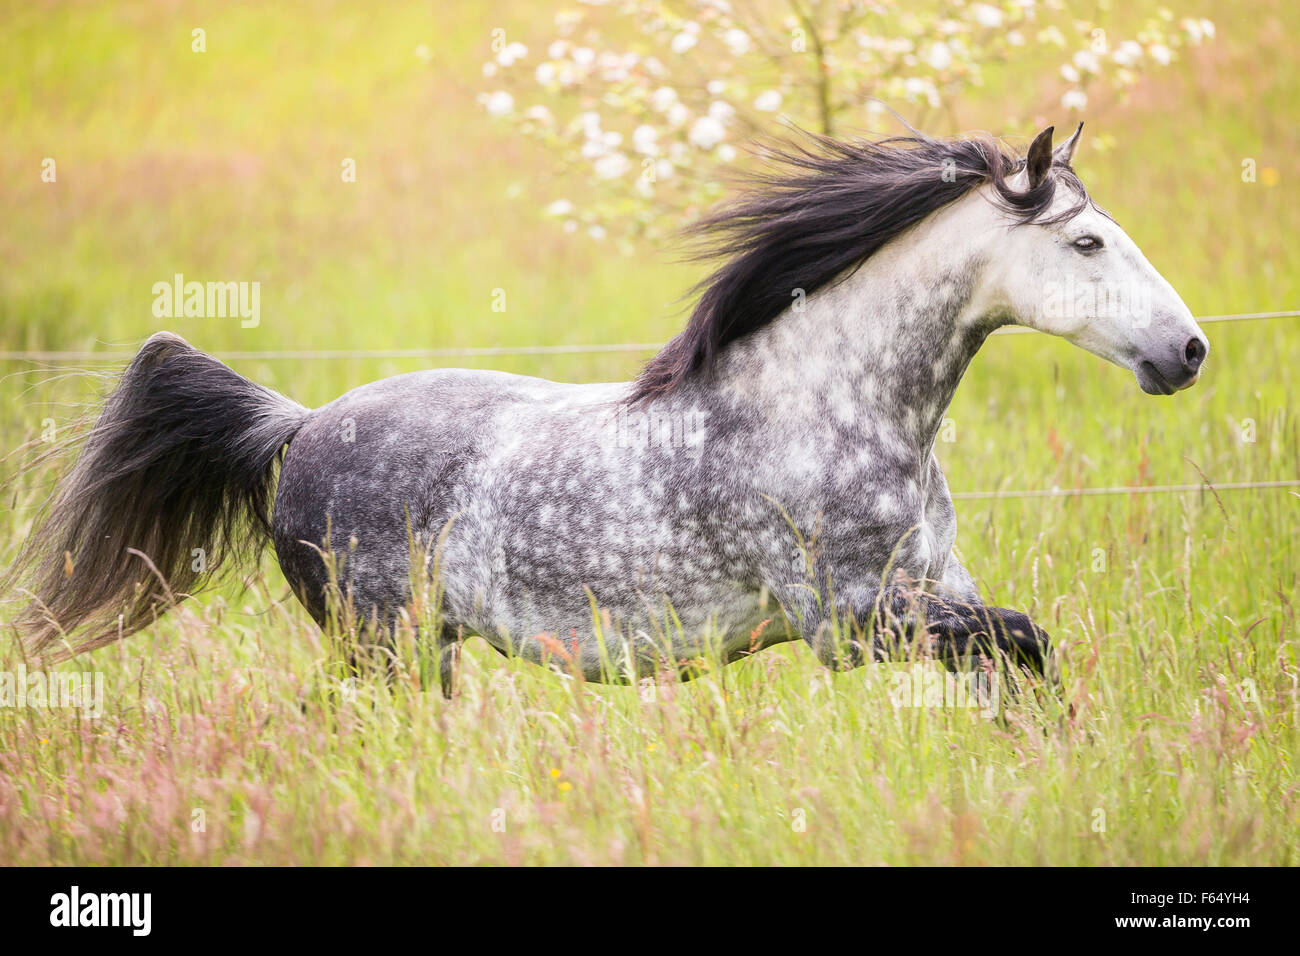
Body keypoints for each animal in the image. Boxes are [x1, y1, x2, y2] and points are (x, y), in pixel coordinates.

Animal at [10, 125, 1206, 697]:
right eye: (1086, 243)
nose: (1188, 351)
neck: (834, 410)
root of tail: (296, 424)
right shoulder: (853, 621)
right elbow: (1026, 638)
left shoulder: (934, 594)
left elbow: (1026, 661)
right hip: (386, 647)